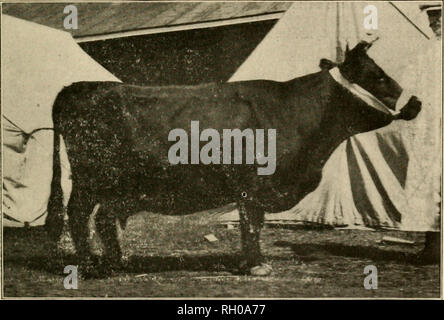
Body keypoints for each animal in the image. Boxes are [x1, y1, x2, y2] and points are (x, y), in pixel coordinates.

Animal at [46, 40, 422, 278]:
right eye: (377, 75)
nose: (416, 101)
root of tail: (77, 87)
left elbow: (248, 226)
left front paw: (248, 263)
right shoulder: (253, 185)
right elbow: (251, 225)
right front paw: (256, 265)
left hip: (110, 185)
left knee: (102, 219)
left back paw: (115, 262)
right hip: (91, 179)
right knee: (79, 216)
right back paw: (91, 266)